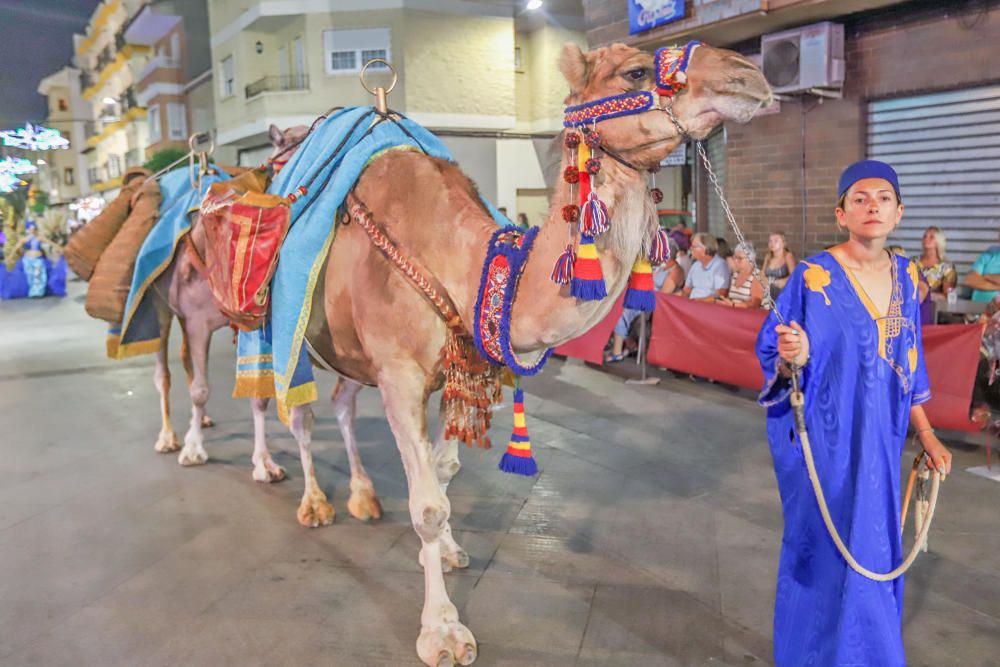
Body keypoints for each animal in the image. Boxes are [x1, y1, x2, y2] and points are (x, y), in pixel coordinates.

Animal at [274, 43, 772, 667]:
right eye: (635, 72)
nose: (749, 75)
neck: (462, 260)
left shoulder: (460, 363)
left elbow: (444, 471)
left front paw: (447, 552)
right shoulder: (399, 374)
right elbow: (428, 505)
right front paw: (442, 631)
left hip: (342, 348)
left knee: (339, 402)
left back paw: (362, 496)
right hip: (267, 322)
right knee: (269, 402)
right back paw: (289, 489)